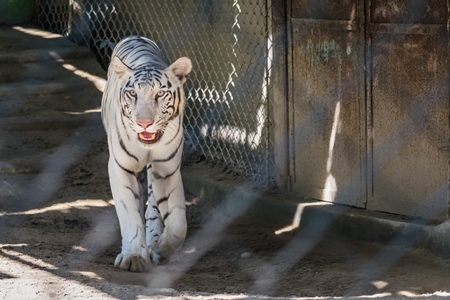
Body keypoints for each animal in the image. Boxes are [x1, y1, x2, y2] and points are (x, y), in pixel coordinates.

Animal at [101, 35, 192, 272]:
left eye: (160, 94)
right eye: (133, 94)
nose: (144, 124)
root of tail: (135, 36)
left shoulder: (166, 169)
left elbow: (178, 223)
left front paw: (161, 250)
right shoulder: (120, 167)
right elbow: (130, 214)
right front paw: (133, 256)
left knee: (153, 208)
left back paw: (153, 240)